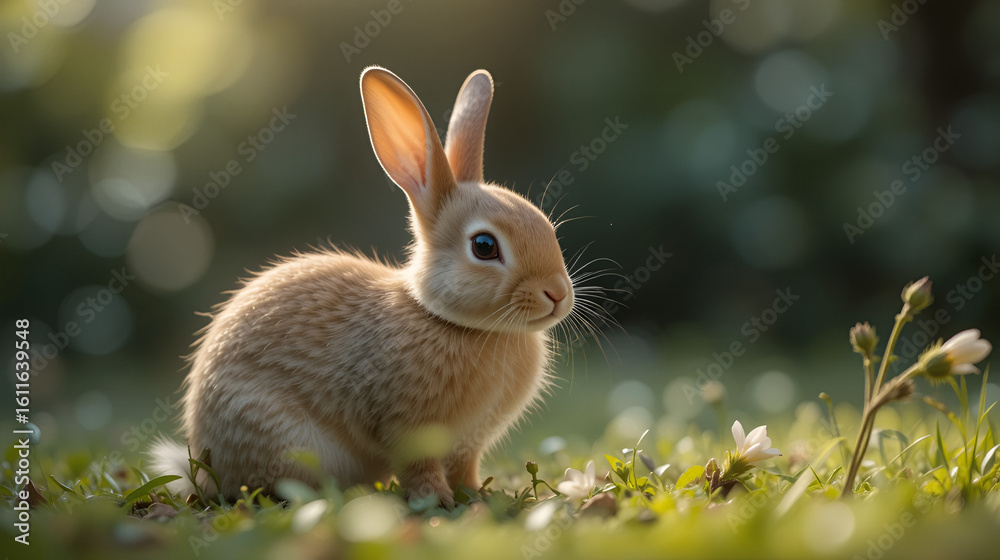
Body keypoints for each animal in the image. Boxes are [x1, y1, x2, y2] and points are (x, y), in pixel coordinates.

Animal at [151, 67, 576, 506]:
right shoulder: (404, 427)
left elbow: (465, 469)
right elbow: (420, 468)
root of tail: (206, 466)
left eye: (546, 225)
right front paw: (437, 501)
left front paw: (479, 496)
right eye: (485, 246)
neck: (452, 322)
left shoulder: (467, 445)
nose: (558, 294)